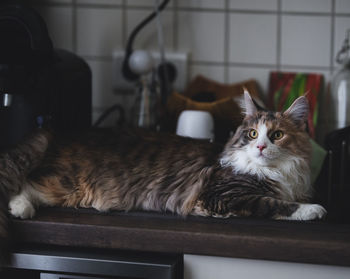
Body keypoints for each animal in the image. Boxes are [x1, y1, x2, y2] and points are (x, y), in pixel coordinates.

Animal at [0, 92, 326, 260]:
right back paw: (21, 209)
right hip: (66, 184)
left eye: (277, 135)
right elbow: (273, 203)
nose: (260, 147)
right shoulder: (222, 194)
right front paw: (313, 210)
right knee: (25, 183)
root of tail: (57, 133)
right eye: (253, 134)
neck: (273, 170)